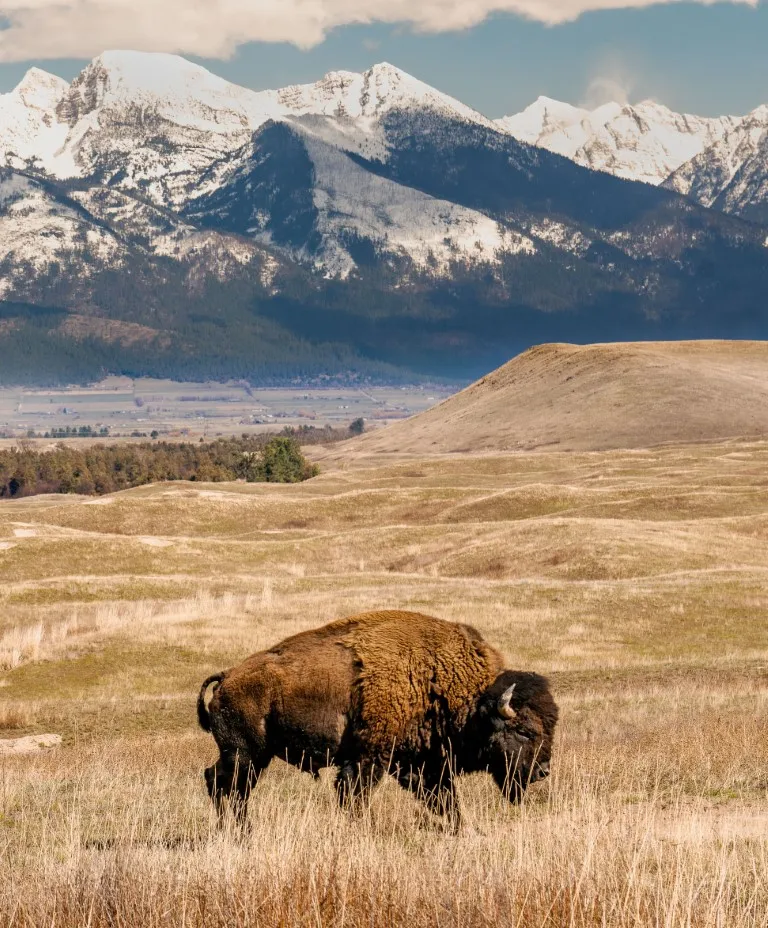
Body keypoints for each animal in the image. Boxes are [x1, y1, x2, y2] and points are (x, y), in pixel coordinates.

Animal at [198, 609, 558, 827]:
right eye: (524, 731)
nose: (542, 771)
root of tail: (227, 676)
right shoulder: (369, 759)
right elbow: (356, 797)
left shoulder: (422, 764)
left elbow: (446, 801)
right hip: (245, 754)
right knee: (227, 786)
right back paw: (240, 831)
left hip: (251, 757)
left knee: (222, 783)